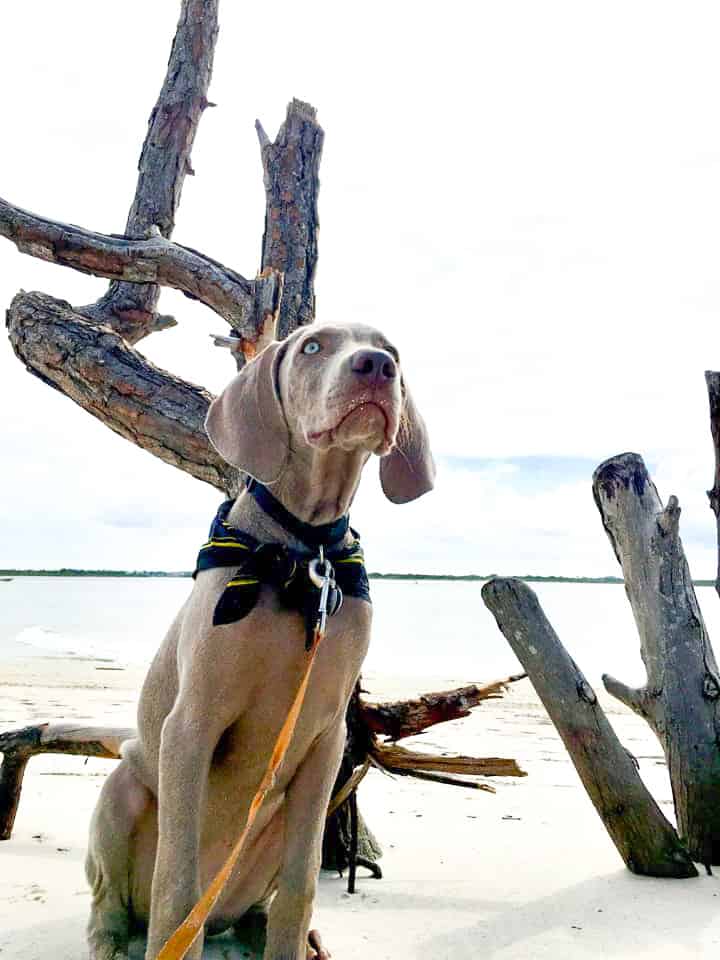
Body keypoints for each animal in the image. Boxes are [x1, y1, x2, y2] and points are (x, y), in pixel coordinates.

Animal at [84, 324, 434, 960]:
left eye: (392, 350)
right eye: (313, 347)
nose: (376, 367)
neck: (303, 552)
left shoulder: (326, 738)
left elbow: (302, 884)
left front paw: (291, 940)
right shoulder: (191, 724)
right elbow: (176, 884)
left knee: (258, 902)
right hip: (122, 789)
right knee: (115, 903)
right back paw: (113, 941)